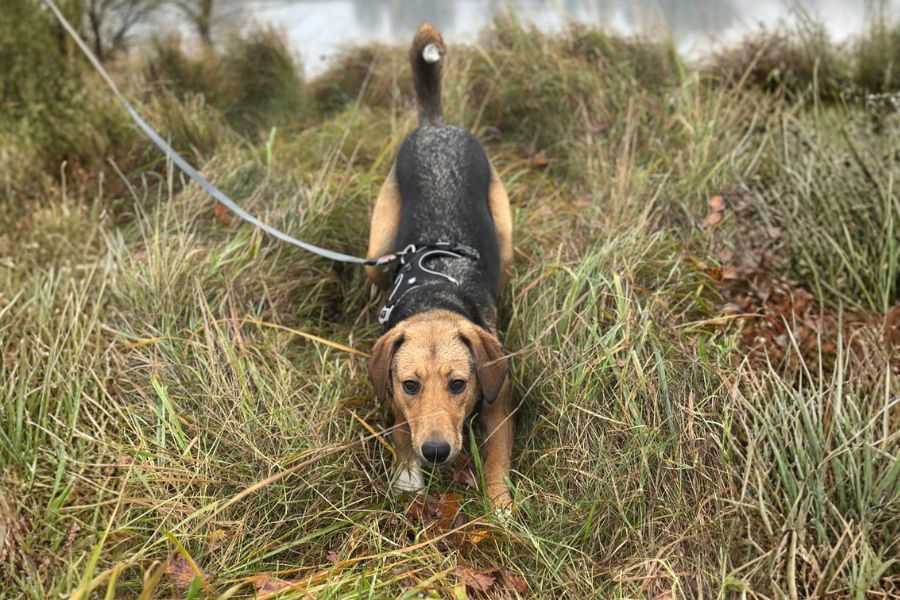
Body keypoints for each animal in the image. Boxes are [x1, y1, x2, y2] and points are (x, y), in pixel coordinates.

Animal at [365, 24, 514, 509]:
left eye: (458, 384)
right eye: (410, 385)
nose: (434, 452)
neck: (434, 298)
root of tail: (435, 127)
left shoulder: (499, 402)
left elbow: (497, 459)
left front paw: (501, 508)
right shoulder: (394, 396)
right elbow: (399, 429)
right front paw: (407, 473)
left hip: (505, 236)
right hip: (377, 250)